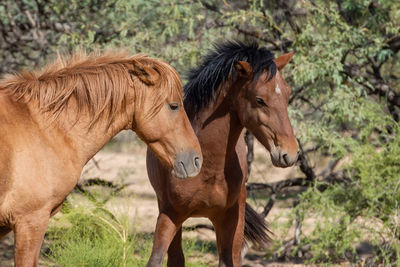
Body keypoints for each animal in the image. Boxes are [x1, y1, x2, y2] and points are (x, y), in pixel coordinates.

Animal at [145, 41, 298, 266]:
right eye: (259, 100)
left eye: (287, 94)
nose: (290, 153)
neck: (209, 165)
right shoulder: (169, 215)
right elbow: (157, 259)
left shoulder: (229, 218)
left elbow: (229, 260)